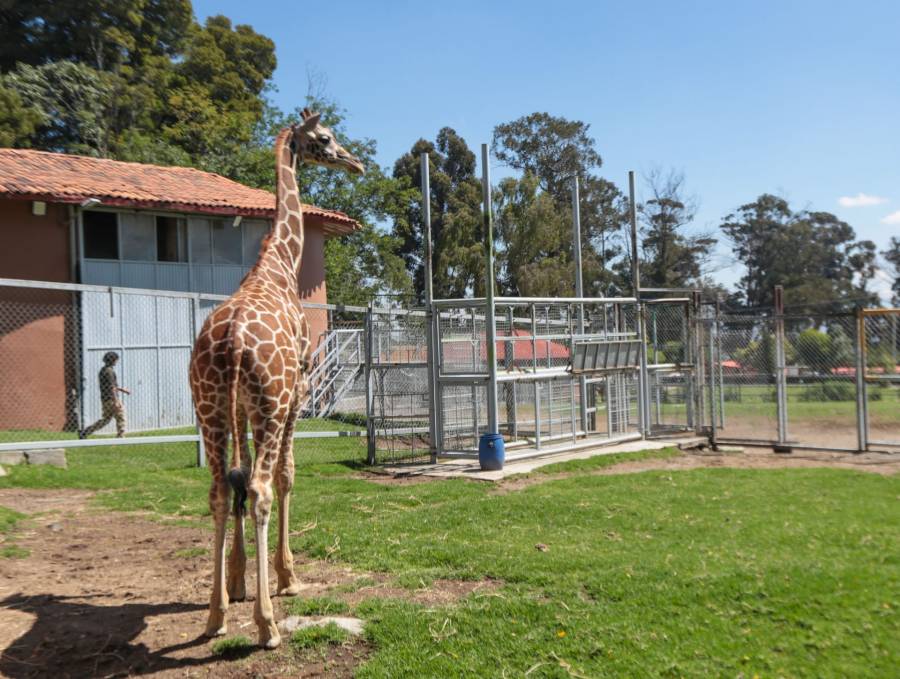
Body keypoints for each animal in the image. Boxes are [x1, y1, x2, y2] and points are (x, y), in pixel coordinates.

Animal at [188, 109, 364, 649]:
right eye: (324, 138)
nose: (356, 163)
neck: (279, 264)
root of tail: (230, 342)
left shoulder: (241, 407)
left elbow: (239, 480)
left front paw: (238, 578)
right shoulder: (297, 394)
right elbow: (286, 476)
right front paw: (287, 577)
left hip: (208, 405)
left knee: (221, 489)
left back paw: (216, 615)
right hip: (270, 403)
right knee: (262, 489)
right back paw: (266, 624)